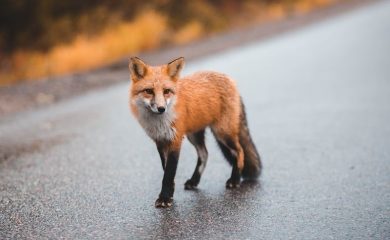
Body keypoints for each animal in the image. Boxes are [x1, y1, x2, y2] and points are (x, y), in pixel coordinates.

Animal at [129, 56, 262, 208]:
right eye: (149, 91)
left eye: (166, 91)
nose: (161, 108)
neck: (160, 122)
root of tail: (230, 79)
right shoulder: (160, 141)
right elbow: (166, 171)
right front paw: (170, 194)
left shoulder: (175, 140)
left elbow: (169, 173)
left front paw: (165, 198)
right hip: (194, 135)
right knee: (204, 154)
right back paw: (194, 181)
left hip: (222, 132)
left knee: (240, 151)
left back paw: (234, 179)